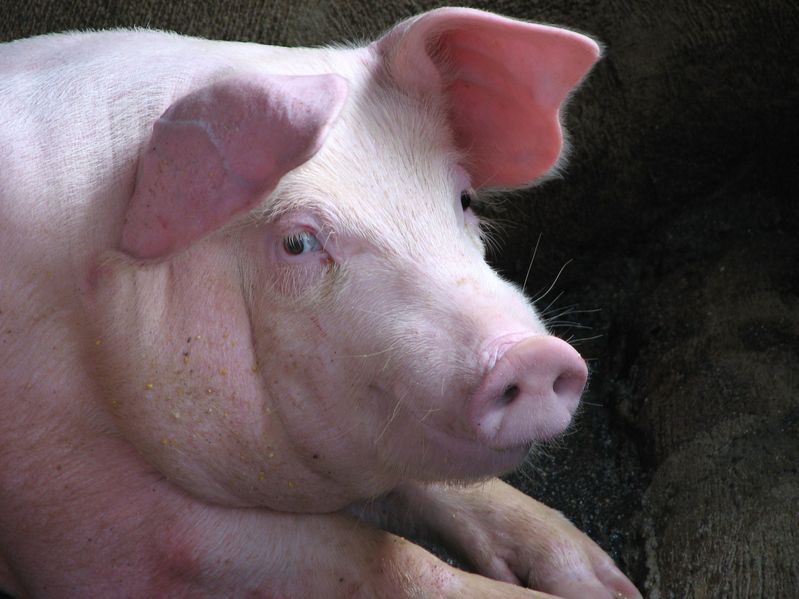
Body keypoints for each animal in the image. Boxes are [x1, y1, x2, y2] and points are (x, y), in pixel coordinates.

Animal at [0, 7, 642, 598]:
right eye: (297, 242)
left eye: (463, 198)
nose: (533, 356)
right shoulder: (88, 512)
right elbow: (385, 561)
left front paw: (610, 586)